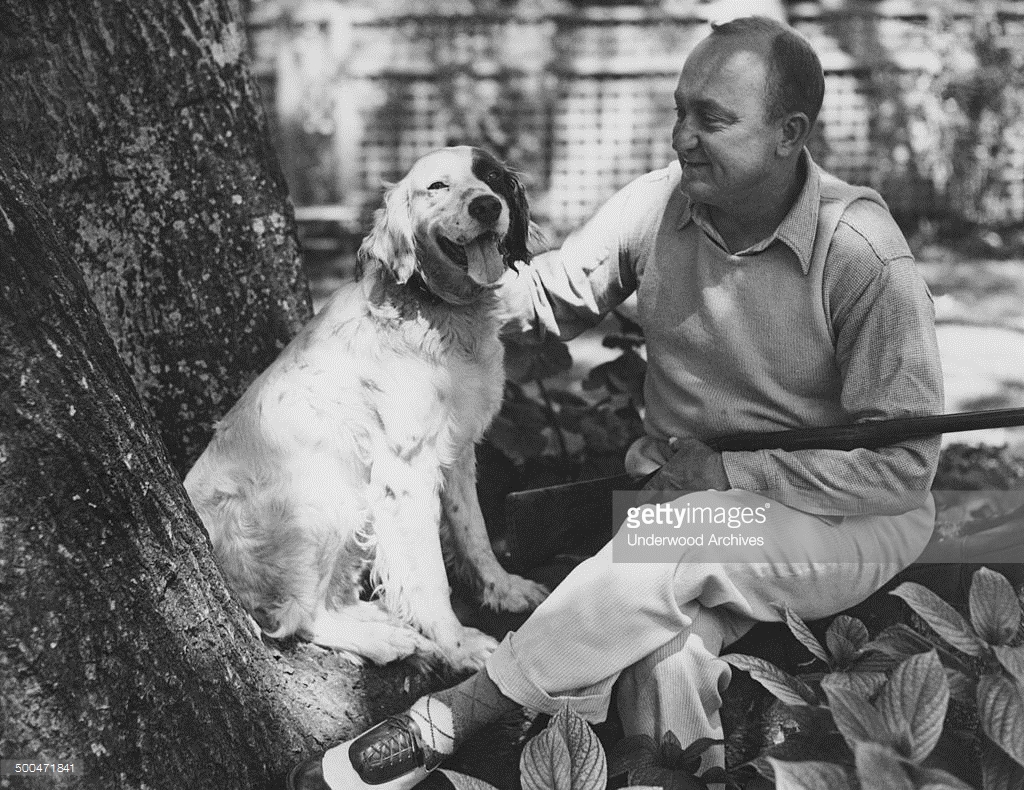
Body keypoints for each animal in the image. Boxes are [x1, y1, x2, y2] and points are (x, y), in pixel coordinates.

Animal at [184, 145, 552, 672]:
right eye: (437, 186)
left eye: (493, 178)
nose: (487, 206)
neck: (440, 313)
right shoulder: (405, 471)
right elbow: (429, 575)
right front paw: (458, 644)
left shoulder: (458, 452)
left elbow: (475, 534)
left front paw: (503, 589)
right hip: (326, 498)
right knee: (299, 618)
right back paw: (386, 641)